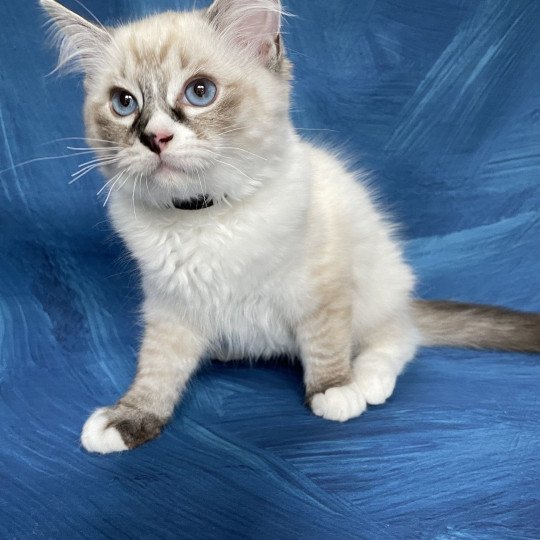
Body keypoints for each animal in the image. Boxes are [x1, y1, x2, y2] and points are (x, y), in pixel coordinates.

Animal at [39, 0, 540, 454]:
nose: (155, 138)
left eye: (200, 92)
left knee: (400, 336)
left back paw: (368, 381)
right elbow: (156, 370)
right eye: (124, 104)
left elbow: (325, 344)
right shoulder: (171, 307)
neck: (204, 215)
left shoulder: (324, 290)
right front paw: (129, 420)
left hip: (379, 287)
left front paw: (334, 391)